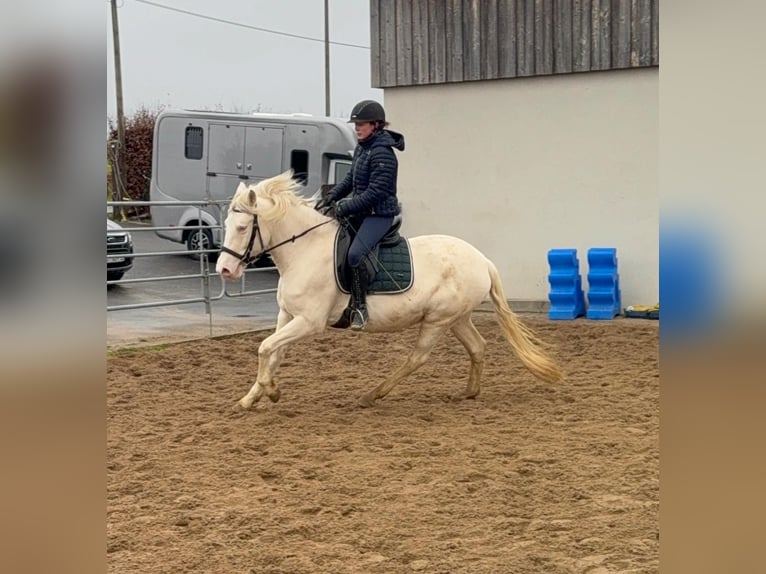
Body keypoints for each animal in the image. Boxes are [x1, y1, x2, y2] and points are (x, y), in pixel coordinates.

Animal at [216, 171, 563, 409]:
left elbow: (265, 348)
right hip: (457, 318)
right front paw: (250, 398)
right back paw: (468, 392)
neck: (304, 250)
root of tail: (483, 260)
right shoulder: (287, 315)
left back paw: (373, 394)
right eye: (227, 225)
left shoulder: (309, 322)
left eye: (243, 228)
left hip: (437, 320)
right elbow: (273, 352)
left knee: (417, 358)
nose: (224, 270)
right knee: (477, 347)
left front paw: (271, 391)